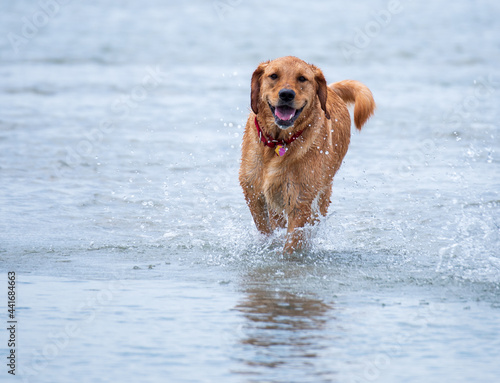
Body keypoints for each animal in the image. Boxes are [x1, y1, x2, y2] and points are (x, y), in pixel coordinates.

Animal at [238, 56, 376, 255]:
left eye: (302, 78)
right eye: (273, 76)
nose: (286, 94)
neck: (279, 142)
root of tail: (331, 89)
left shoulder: (300, 200)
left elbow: (293, 242)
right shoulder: (253, 193)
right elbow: (265, 228)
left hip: (322, 194)